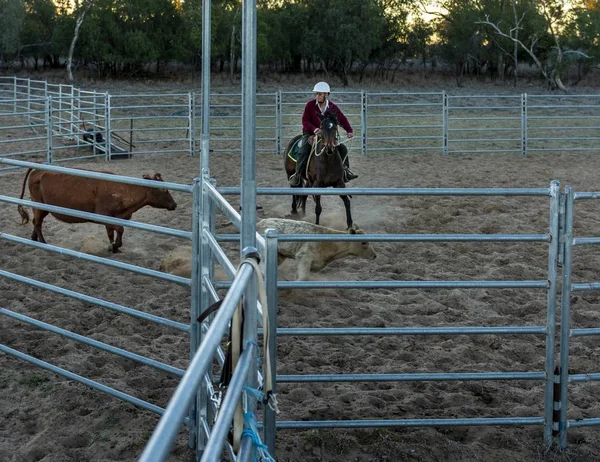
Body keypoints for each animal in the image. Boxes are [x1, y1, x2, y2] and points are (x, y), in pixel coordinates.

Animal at [17, 168, 177, 253]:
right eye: (164, 190)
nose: (174, 205)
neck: (121, 191)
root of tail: (37, 170)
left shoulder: (113, 217)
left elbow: (112, 232)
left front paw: (114, 248)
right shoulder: (102, 215)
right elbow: (120, 229)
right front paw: (115, 246)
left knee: (35, 222)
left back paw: (34, 240)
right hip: (40, 206)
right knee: (37, 223)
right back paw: (43, 243)